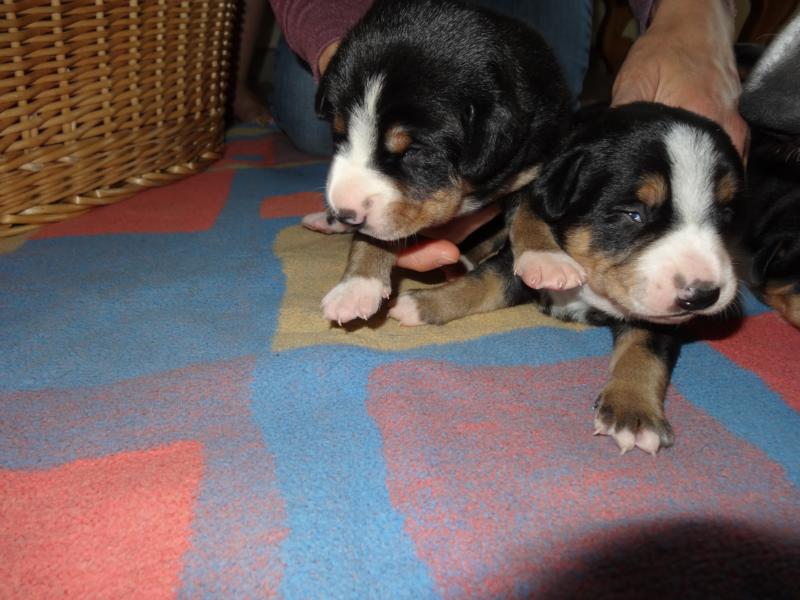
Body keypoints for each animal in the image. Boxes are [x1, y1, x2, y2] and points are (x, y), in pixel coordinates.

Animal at [311, 0, 571, 324]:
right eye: (339, 136)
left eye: (413, 151)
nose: (346, 213)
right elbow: (375, 235)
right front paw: (356, 286)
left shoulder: (537, 161)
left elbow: (530, 207)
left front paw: (545, 258)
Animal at [390, 102, 746, 455]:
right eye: (633, 214)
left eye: (727, 215)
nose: (702, 295)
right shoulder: (520, 262)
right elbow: (482, 282)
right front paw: (422, 303)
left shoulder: (660, 317)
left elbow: (644, 349)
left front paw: (634, 412)